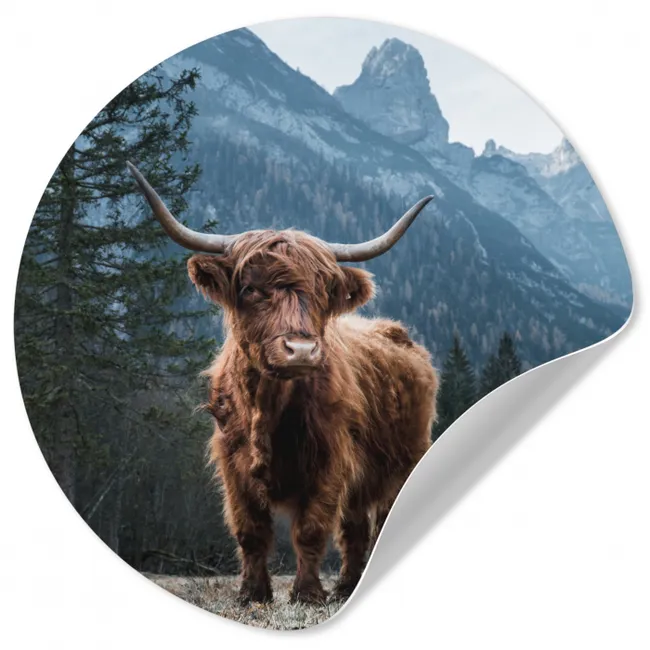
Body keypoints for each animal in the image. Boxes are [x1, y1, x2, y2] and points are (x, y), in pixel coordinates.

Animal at [127, 162, 438, 605]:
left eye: (324, 291)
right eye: (250, 288)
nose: (302, 350)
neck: (268, 407)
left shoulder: (330, 460)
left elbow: (311, 530)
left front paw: (307, 594)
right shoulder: (233, 464)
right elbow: (250, 531)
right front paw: (252, 593)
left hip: (404, 460)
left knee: (377, 519)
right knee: (356, 528)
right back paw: (347, 586)